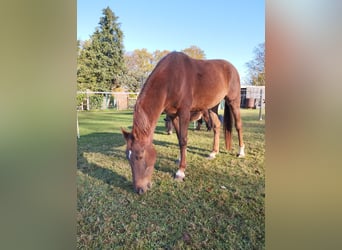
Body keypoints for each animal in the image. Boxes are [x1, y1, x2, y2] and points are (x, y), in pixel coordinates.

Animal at [121, 51, 244, 194]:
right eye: (127, 157)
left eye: (140, 156)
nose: (139, 189)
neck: (171, 79)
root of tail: (232, 68)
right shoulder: (173, 115)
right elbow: (179, 137)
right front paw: (180, 159)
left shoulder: (184, 112)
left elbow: (183, 140)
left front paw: (180, 172)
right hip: (212, 107)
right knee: (216, 126)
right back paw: (214, 152)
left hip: (233, 101)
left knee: (238, 126)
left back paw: (241, 152)